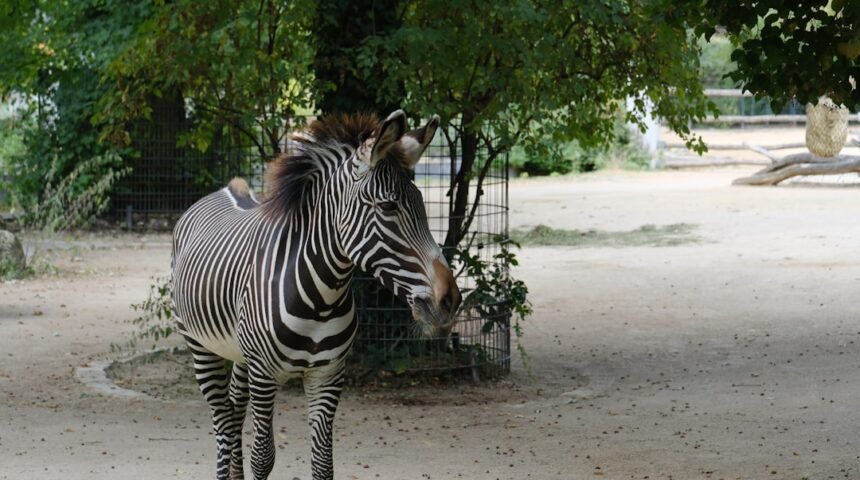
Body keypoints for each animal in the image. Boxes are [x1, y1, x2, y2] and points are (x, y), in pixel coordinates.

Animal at [171, 110, 461, 480]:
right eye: (388, 206)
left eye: (423, 205)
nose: (449, 300)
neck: (320, 300)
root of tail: (226, 189)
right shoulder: (264, 373)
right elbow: (263, 457)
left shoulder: (329, 374)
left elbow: (324, 464)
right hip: (200, 346)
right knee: (222, 419)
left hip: (238, 353)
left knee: (234, 410)